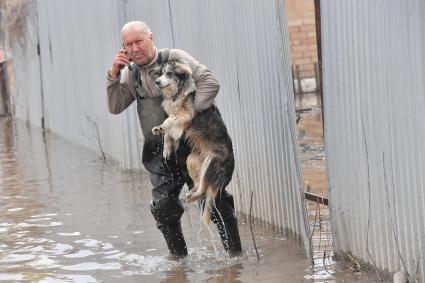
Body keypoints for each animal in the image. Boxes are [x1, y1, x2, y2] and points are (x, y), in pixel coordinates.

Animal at [152, 60, 235, 224]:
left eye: (169, 73)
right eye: (161, 73)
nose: (156, 82)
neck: (178, 92)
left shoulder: (186, 114)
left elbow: (169, 120)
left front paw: (160, 128)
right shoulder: (180, 125)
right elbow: (169, 132)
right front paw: (166, 148)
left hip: (211, 162)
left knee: (204, 190)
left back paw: (191, 196)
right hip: (192, 160)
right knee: (201, 187)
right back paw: (190, 195)